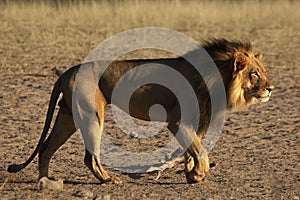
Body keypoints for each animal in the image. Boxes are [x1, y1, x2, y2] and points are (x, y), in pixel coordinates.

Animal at [7, 38, 274, 186]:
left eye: (263, 71)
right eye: (254, 74)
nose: (271, 88)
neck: (219, 79)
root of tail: (66, 72)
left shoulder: (197, 121)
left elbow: (191, 151)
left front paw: (191, 175)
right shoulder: (178, 121)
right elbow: (200, 151)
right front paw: (198, 175)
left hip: (68, 117)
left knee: (46, 148)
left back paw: (45, 182)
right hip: (91, 115)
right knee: (89, 157)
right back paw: (108, 180)